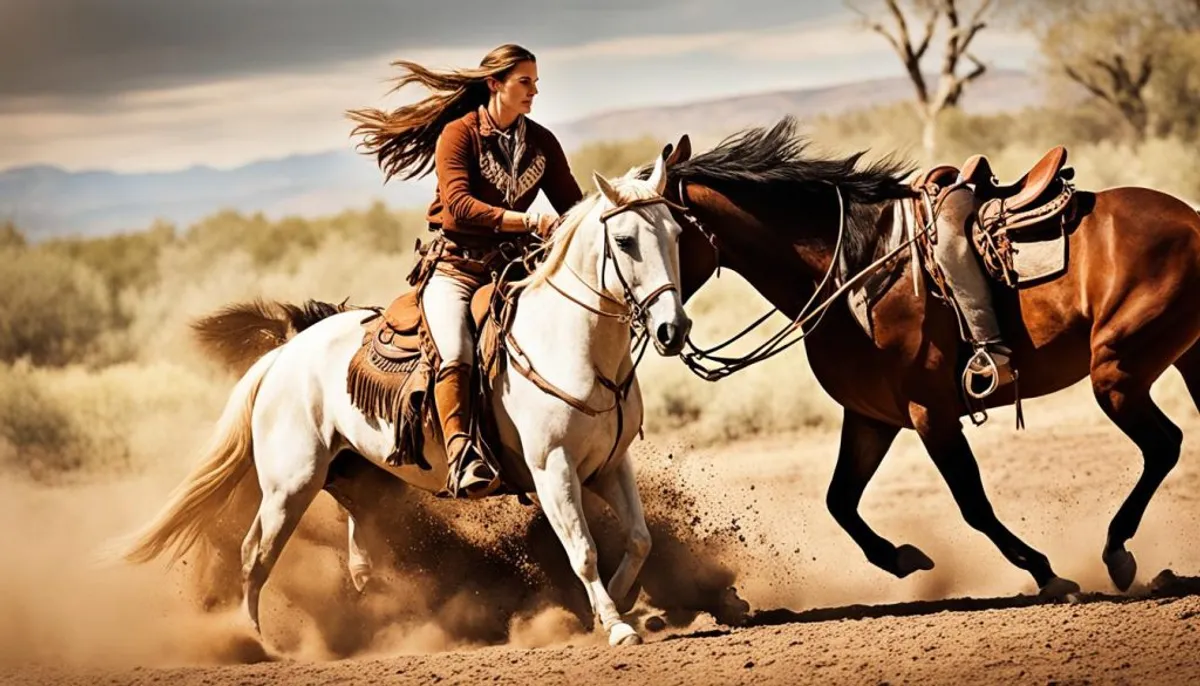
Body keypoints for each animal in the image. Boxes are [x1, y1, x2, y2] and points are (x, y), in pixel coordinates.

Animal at [114, 151, 696, 647]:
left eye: (675, 233)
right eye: (625, 240)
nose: (673, 329)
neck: (572, 347)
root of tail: (280, 358)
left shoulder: (609, 464)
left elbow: (639, 539)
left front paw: (619, 608)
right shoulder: (553, 469)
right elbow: (583, 550)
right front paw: (616, 625)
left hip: (362, 482)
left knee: (358, 560)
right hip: (289, 484)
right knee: (255, 554)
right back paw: (254, 643)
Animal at [657, 119, 1200, 599]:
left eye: (662, 234)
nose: (660, 328)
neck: (855, 270)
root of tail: (1191, 220)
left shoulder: (930, 413)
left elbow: (972, 504)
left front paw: (1046, 573)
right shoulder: (871, 417)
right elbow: (840, 500)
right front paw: (900, 558)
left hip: (1115, 373)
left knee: (1163, 445)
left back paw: (1116, 553)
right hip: (1182, 360)